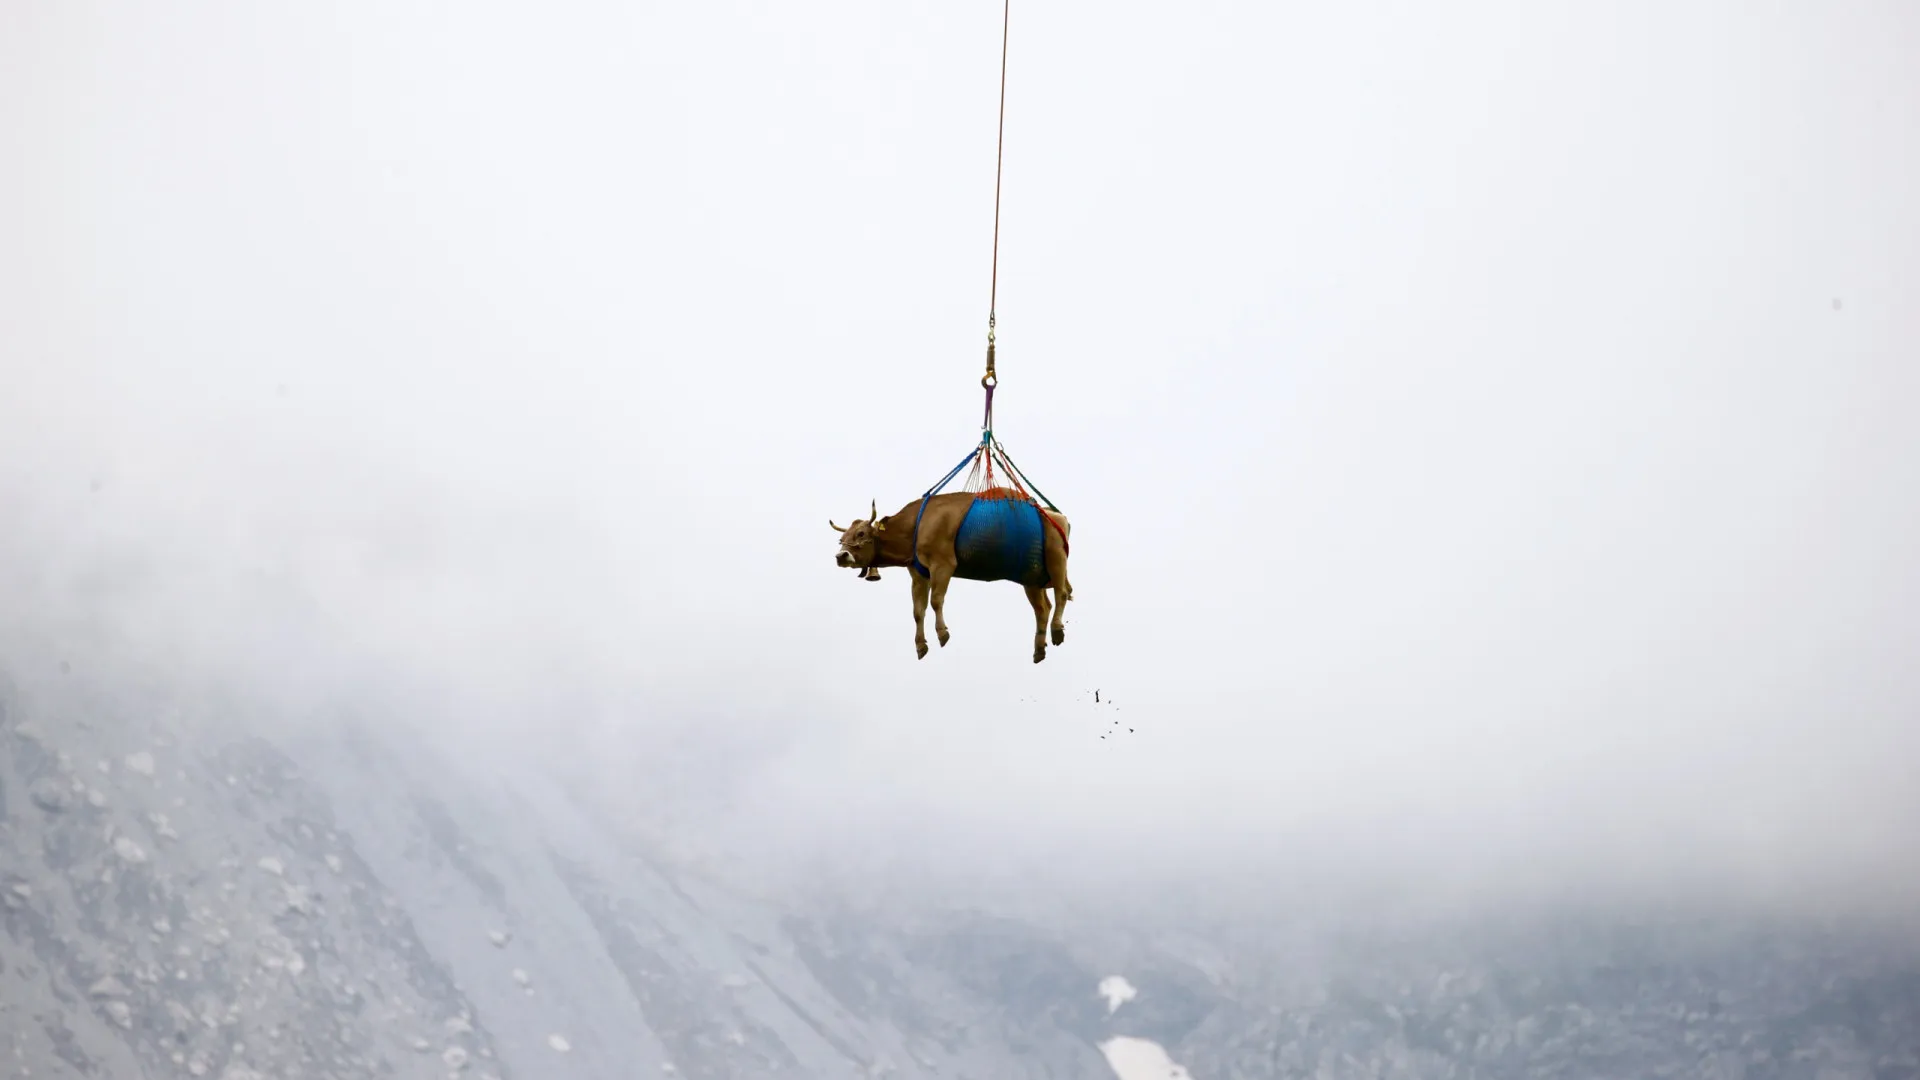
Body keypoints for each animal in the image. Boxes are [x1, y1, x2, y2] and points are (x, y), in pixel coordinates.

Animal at [832, 494, 1072, 663]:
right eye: (841, 539)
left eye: (861, 533)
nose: (841, 556)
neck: (917, 524)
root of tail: (1056, 515)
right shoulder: (918, 575)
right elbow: (918, 612)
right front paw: (921, 645)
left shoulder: (943, 564)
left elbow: (936, 601)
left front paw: (942, 633)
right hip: (1031, 577)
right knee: (1042, 609)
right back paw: (1039, 648)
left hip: (1056, 558)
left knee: (1061, 593)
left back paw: (1057, 630)